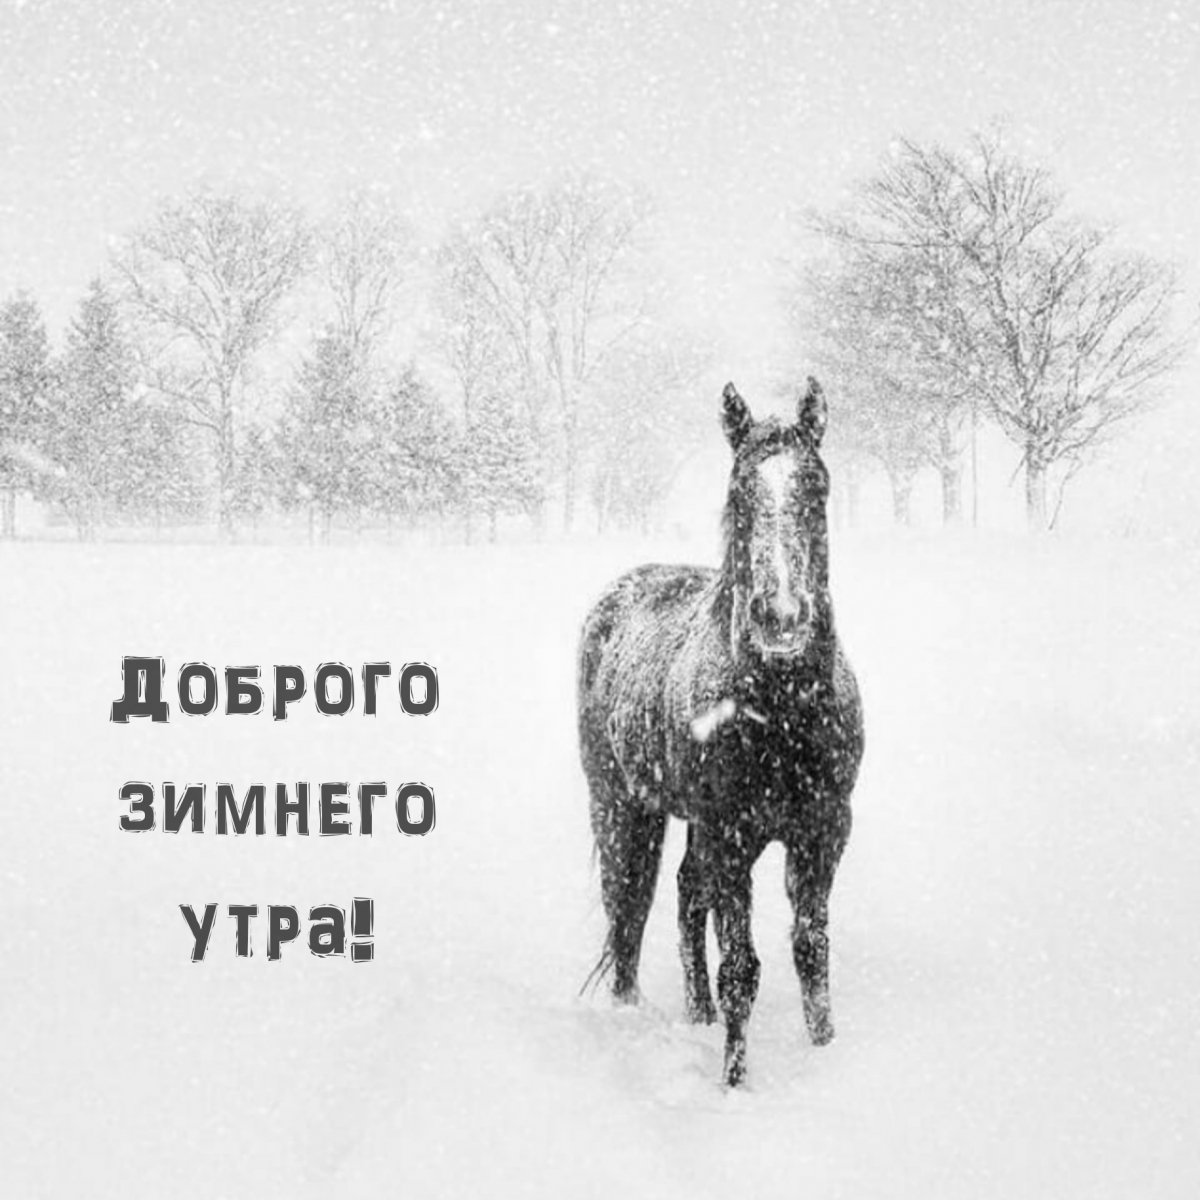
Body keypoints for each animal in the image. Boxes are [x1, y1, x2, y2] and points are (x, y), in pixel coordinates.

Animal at [577, 378, 864, 1087]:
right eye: (739, 492)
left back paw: (698, 1013)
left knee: (684, 897)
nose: (781, 616)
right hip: (622, 807)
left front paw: (826, 1050)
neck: (783, 713)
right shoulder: (731, 834)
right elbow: (742, 969)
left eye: (817, 486)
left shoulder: (823, 831)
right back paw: (632, 1012)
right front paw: (735, 1085)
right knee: (628, 908)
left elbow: (811, 950)